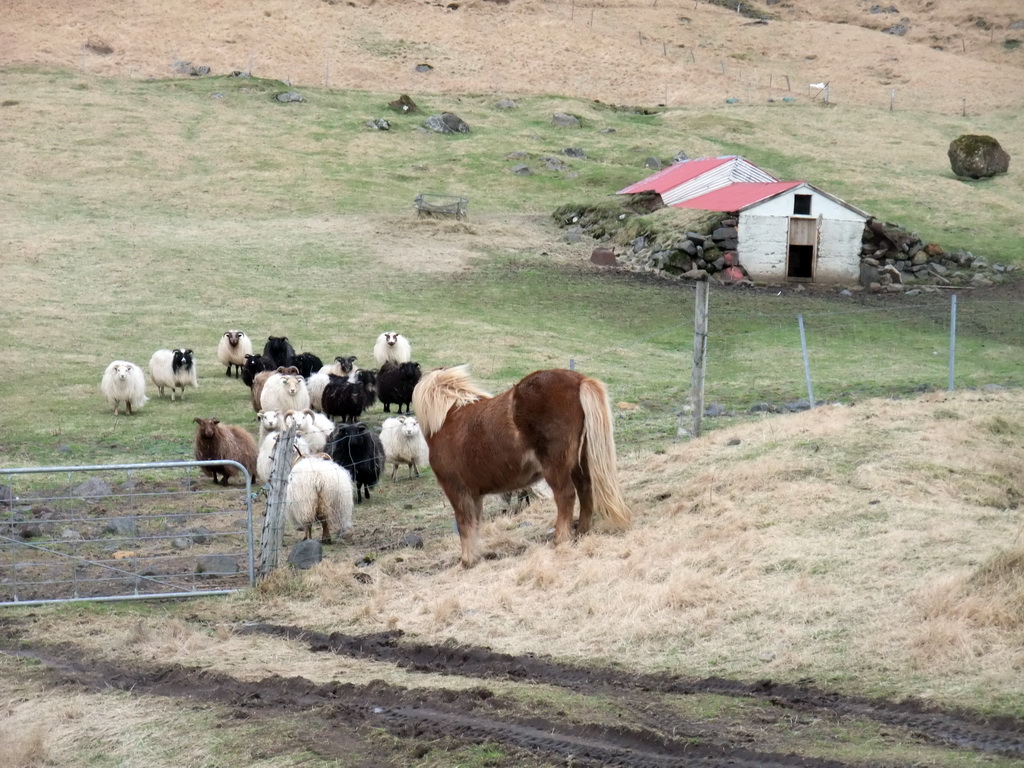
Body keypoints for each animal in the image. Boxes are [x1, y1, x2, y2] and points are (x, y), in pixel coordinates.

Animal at [411, 364, 626, 569]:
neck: (446, 421)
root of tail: (579, 380)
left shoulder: (457, 491)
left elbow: (464, 524)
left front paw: (467, 560)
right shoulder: (475, 495)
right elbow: (475, 523)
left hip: (556, 467)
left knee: (566, 496)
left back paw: (560, 539)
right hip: (578, 463)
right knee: (585, 490)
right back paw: (582, 531)